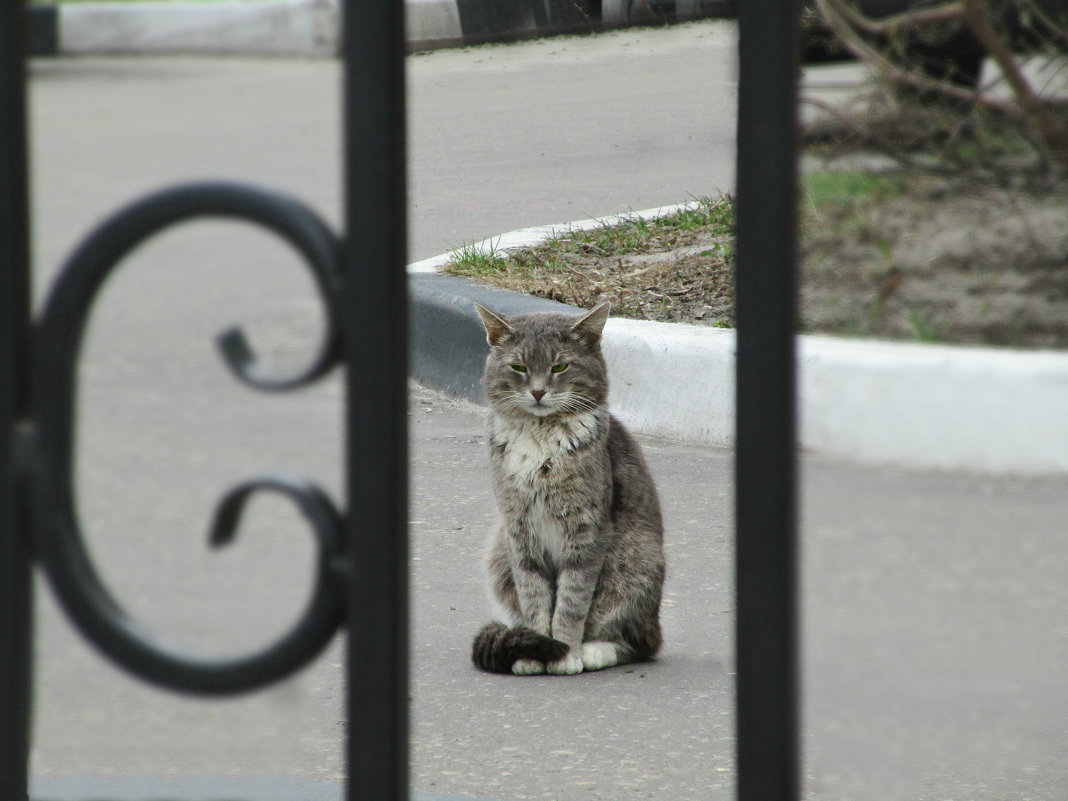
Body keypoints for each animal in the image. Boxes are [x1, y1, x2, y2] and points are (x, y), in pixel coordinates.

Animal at [469, 303, 662, 679]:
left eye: (559, 366)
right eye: (519, 367)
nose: (538, 392)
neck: (539, 436)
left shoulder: (586, 530)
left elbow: (573, 599)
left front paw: (564, 652)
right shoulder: (519, 532)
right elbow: (533, 595)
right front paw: (535, 649)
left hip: (635, 558)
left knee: (640, 641)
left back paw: (595, 650)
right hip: (498, 552)